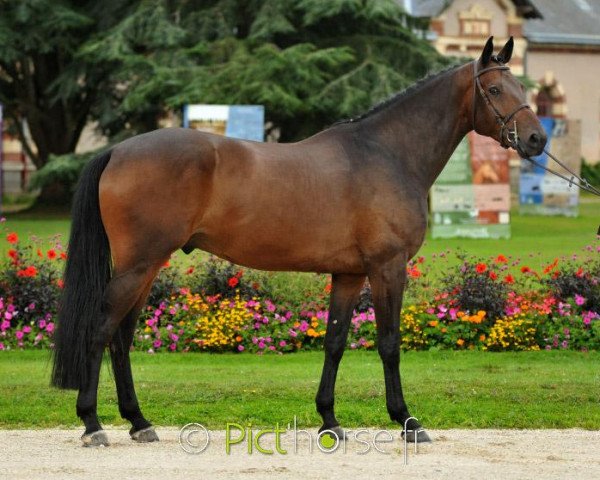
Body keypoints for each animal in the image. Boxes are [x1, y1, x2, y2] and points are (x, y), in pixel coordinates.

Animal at [52, 37, 548, 446]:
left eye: (521, 87)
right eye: (496, 90)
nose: (537, 139)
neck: (385, 154)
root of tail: (118, 150)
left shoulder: (348, 274)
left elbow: (335, 342)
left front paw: (329, 421)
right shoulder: (387, 268)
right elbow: (389, 344)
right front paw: (407, 422)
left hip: (147, 267)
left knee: (120, 337)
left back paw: (139, 422)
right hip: (138, 264)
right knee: (100, 330)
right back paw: (93, 424)